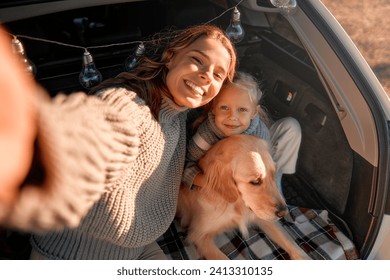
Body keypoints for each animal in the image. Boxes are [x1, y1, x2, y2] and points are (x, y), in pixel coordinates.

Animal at [178, 135, 310, 260]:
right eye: (255, 181)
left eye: (273, 174)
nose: (283, 212)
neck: (236, 204)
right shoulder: (198, 234)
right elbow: (222, 258)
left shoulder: (261, 215)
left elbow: (290, 242)